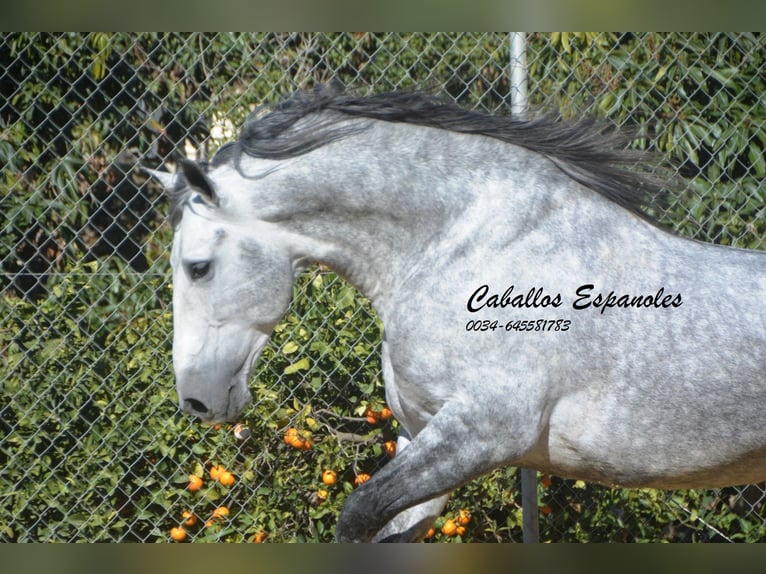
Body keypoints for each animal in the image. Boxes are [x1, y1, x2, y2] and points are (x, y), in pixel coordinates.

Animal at [148, 88, 766, 544]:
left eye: (198, 267)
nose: (195, 399)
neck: (466, 247)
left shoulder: (481, 433)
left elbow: (356, 515)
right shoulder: (425, 438)